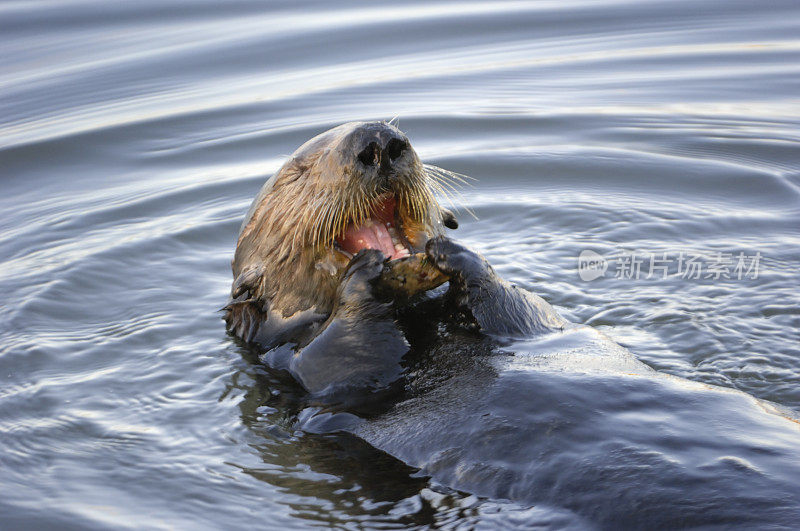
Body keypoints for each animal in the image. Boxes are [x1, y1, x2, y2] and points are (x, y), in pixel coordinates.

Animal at [227, 121, 800, 528]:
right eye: (297, 173)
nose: (378, 142)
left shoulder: (529, 321)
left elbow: (521, 311)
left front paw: (453, 252)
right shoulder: (300, 365)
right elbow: (350, 364)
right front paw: (365, 277)